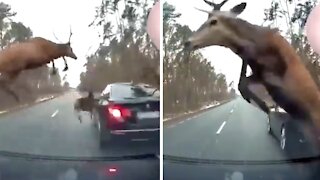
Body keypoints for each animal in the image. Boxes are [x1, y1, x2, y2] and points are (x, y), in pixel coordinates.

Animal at [184, 1, 320, 146]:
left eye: (213, 21)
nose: (187, 42)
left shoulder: (280, 70)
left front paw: (267, 106)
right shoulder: (258, 74)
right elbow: (241, 84)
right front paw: (265, 105)